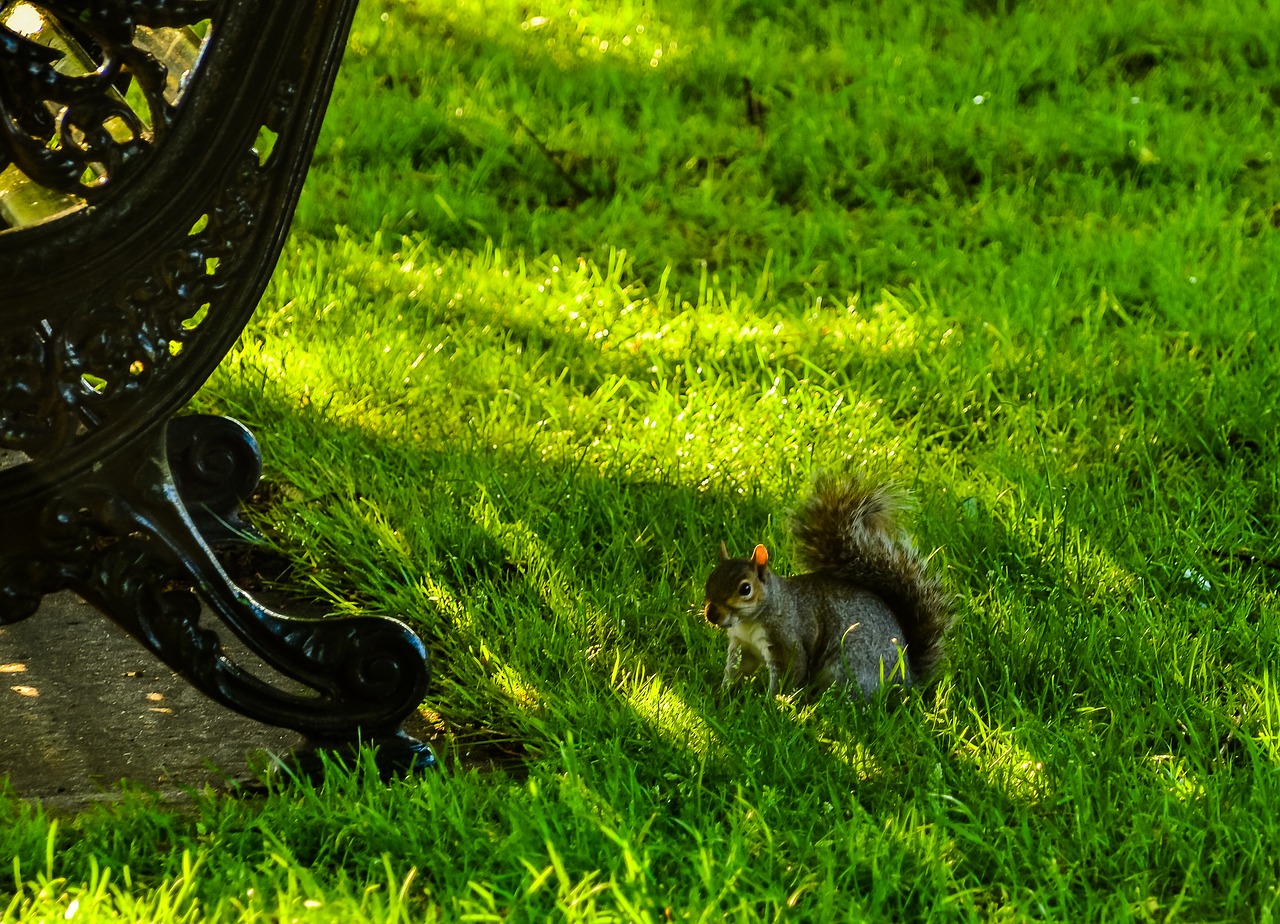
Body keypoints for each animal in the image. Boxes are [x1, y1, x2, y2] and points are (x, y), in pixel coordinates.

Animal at [701, 470, 952, 696]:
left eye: (745, 589)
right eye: (709, 580)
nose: (712, 614)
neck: (749, 622)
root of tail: (908, 680)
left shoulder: (785, 639)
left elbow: (789, 672)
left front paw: (770, 705)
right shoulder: (742, 646)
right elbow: (736, 671)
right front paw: (722, 695)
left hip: (850, 665)